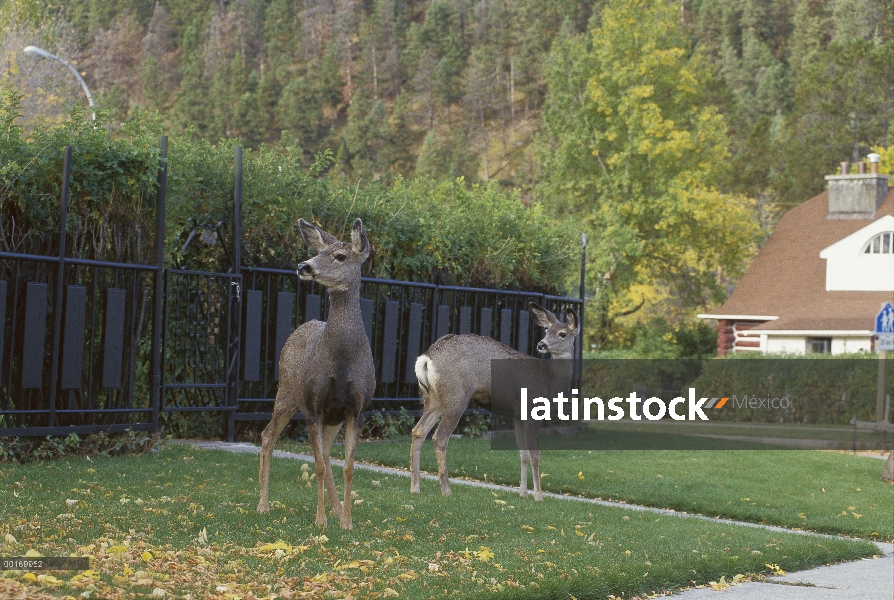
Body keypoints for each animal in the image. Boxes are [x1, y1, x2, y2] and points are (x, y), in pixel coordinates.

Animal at [258, 218, 376, 528]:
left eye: (340, 256)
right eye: (319, 252)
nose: (304, 266)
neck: (342, 362)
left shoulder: (356, 409)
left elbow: (348, 467)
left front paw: (346, 522)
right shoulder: (313, 406)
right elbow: (319, 466)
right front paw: (320, 521)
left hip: (331, 417)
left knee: (325, 450)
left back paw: (336, 508)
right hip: (287, 392)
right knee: (267, 435)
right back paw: (263, 504)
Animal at [412, 302, 580, 500]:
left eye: (562, 334)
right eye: (547, 330)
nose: (541, 344)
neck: (550, 380)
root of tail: (427, 358)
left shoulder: (518, 415)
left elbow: (523, 453)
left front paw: (523, 493)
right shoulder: (532, 409)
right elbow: (534, 453)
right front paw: (538, 496)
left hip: (433, 399)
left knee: (418, 431)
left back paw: (415, 488)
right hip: (456, 397)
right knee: (439, 437)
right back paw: (446, 490)